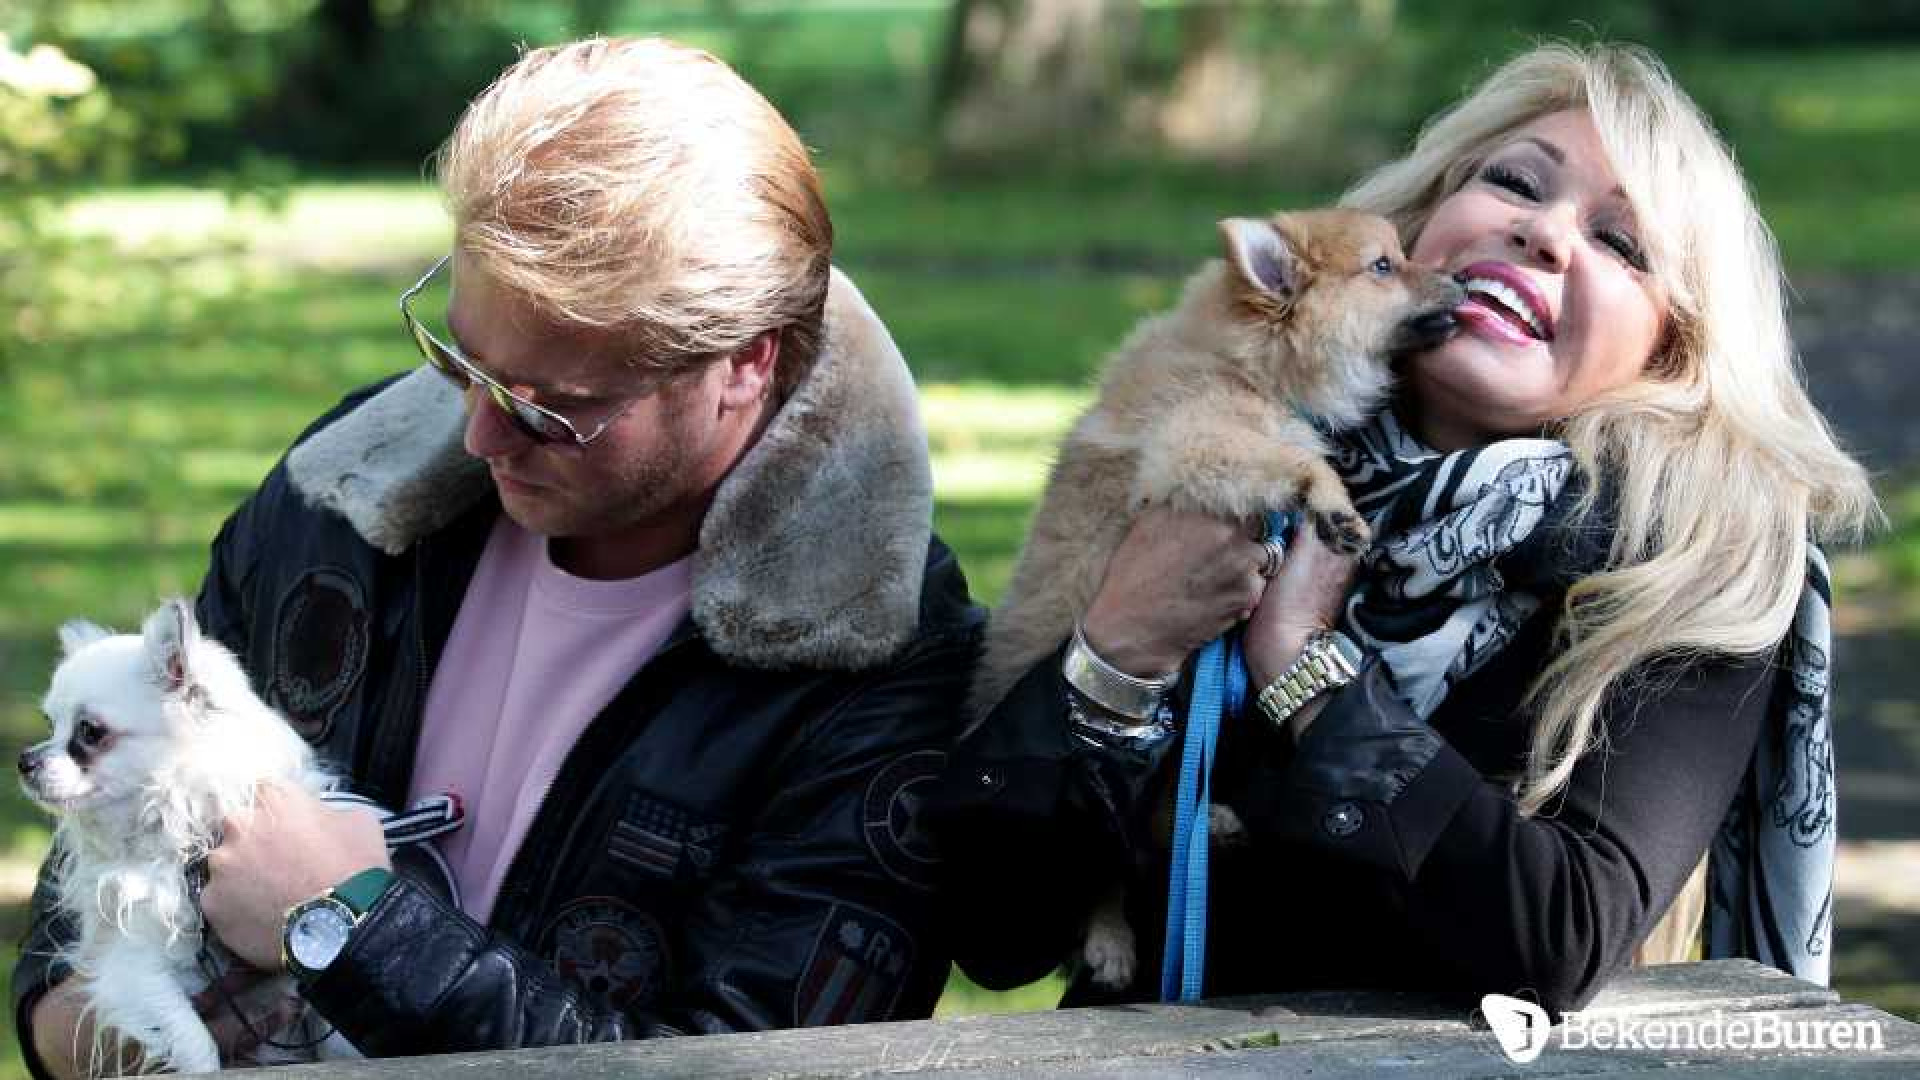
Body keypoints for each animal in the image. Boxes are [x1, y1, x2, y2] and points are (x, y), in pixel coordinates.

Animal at [967, 208, 1459, 983]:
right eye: (1384, 266)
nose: (1462, 278)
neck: (1248, 370)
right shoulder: (1196, 446)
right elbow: (1290, 459)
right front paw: (1332, 502)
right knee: (1107, 860)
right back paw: (1110, 938)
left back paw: (1214, 827)